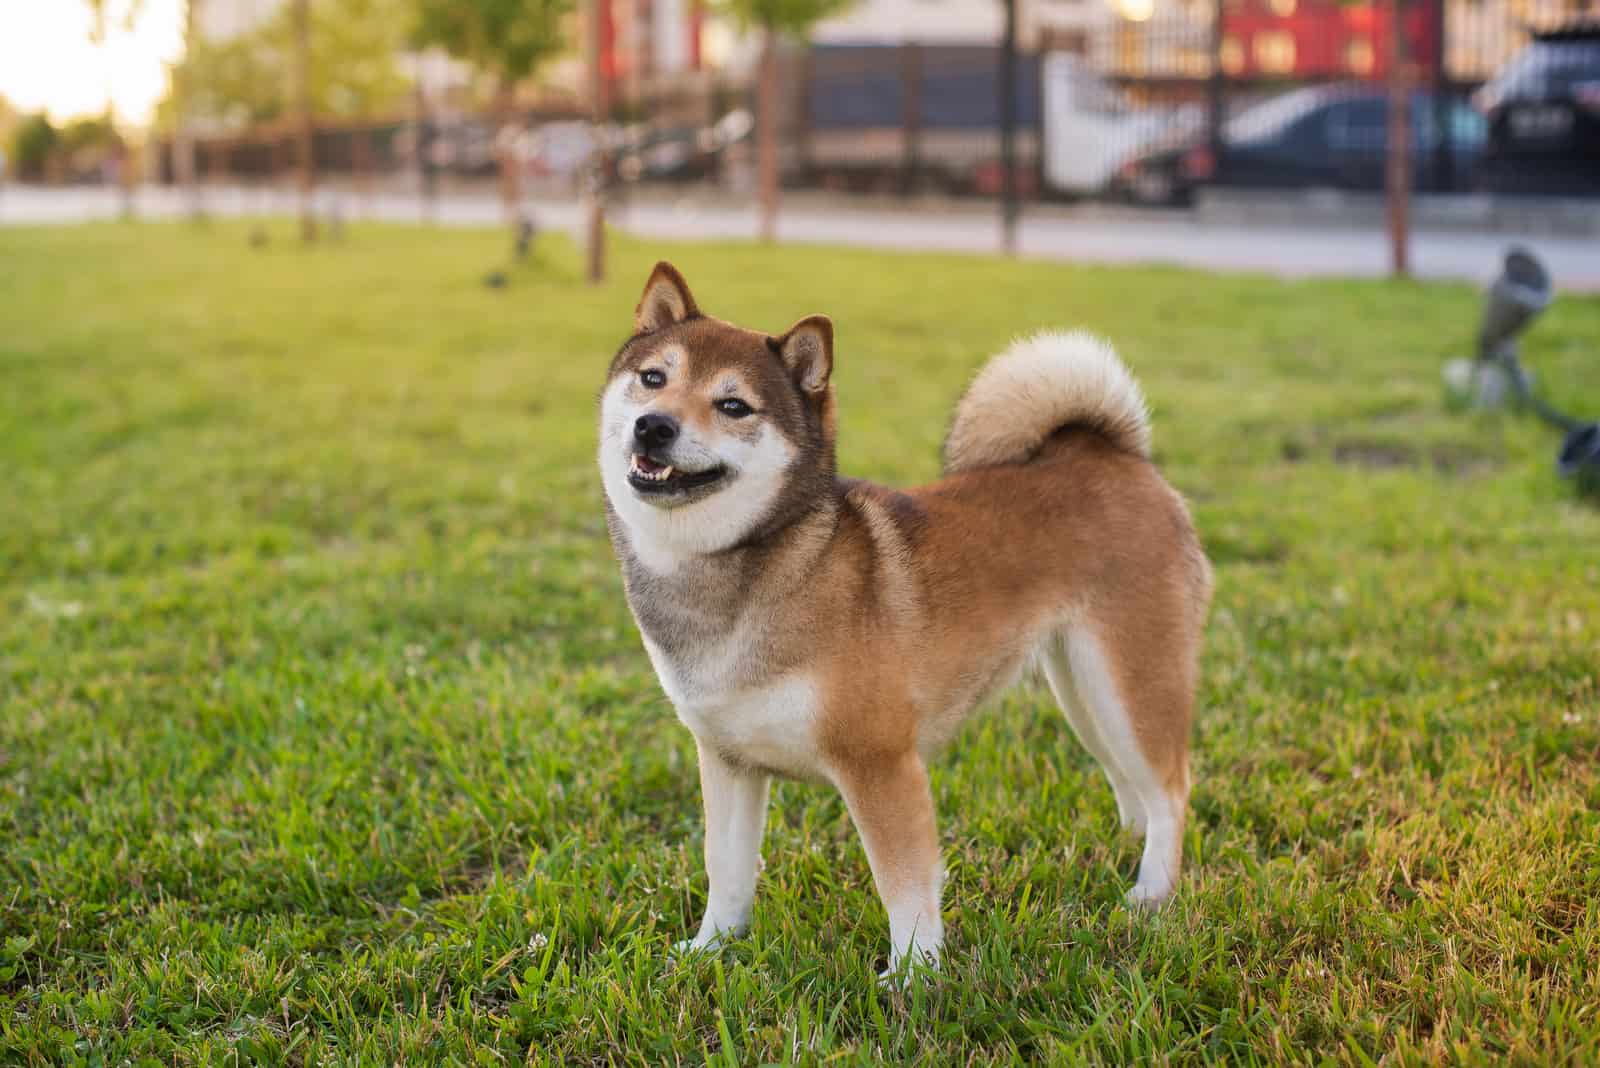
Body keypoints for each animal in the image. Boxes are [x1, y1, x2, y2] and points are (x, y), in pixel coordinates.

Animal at [601, 260, 1209, 978]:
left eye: (733, 406)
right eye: (653, 378)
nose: (653, 426)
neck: (754, 571)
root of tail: (1118, 456)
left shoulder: (879, 762)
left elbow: (905, 885)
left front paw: (913, 978)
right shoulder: (728, 760)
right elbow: (725, 870)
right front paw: (709, 951)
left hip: (1130, 679)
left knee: (1170, 788)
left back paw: (1152, 894)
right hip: (1082, 688)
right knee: (1130, 781)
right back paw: (1124, 851)